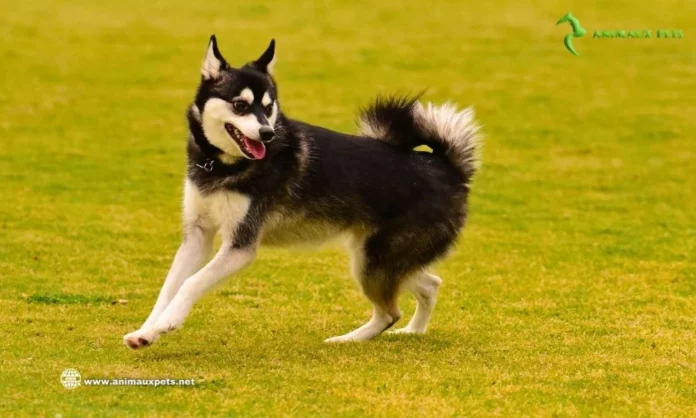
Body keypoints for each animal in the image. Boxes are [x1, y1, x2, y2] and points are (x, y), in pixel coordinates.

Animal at [122, 36, 482, 350]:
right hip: (380, 259)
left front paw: (169, 322)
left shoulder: (240, 246)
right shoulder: (197, 236)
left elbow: (191, 282)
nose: (267, 133)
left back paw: (348, 340)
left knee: (391, 311)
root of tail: (447, 168)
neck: (222, 166)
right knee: (429, 285)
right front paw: (146, 332)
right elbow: (169, 288)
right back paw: (413, 332)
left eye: (269, 108)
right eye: (240, 105)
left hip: (374, 261)